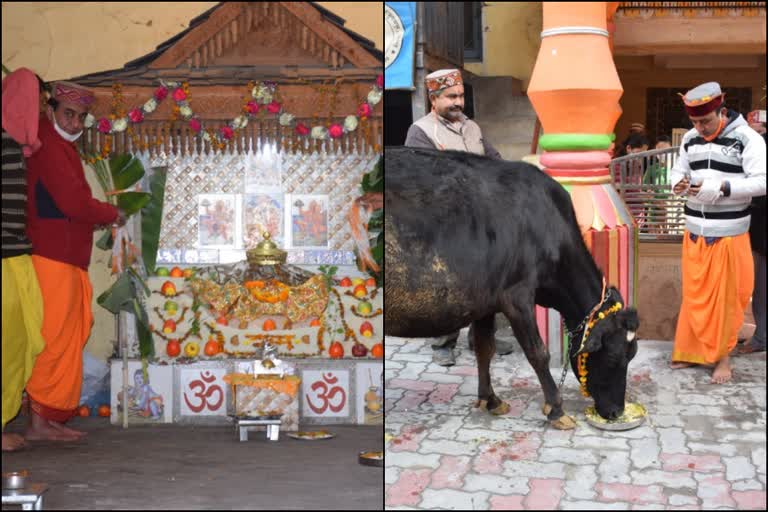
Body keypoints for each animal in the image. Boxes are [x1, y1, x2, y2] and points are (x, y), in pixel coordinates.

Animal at [388, 147, 640, 428]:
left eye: (632, 355)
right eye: (613, 357)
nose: (617, 411)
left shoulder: (486, 302)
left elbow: (485, 348)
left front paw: (490, 399)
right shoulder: (516, 296)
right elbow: (538, 352)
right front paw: (556, 409)